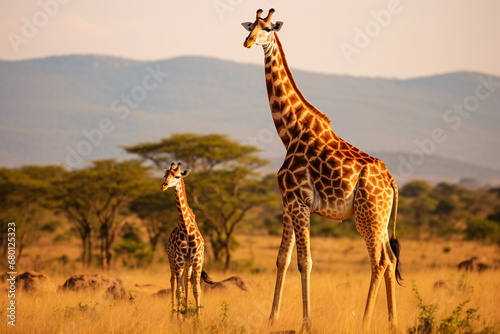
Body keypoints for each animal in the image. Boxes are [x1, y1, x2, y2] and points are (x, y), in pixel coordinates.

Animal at [161, 163, 210, 320]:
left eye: (177, 176)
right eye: (165, 175)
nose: (164, 186)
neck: (186, 228)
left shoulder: (197, 259)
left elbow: (196, 289)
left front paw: (197, 319)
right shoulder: (179, 260)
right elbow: (179, 290)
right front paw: (179, 318)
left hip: (188, 263)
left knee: (186, 282)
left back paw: (186, 311)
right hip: (172, 260)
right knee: (173, 282)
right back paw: (174, 314)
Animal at [242, 7, 402, 332]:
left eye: (267, 28)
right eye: (250, 26)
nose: (248, 42)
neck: (290, 131)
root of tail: (391, 181)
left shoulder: (300, 201)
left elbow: (305, 262)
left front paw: (306, 322)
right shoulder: (287, 203)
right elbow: (282, 259)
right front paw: (271, 318)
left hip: (367, 216)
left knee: (379, 261)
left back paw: (365, 321)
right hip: (379, 218)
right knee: (391, 259)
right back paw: (392, 322)